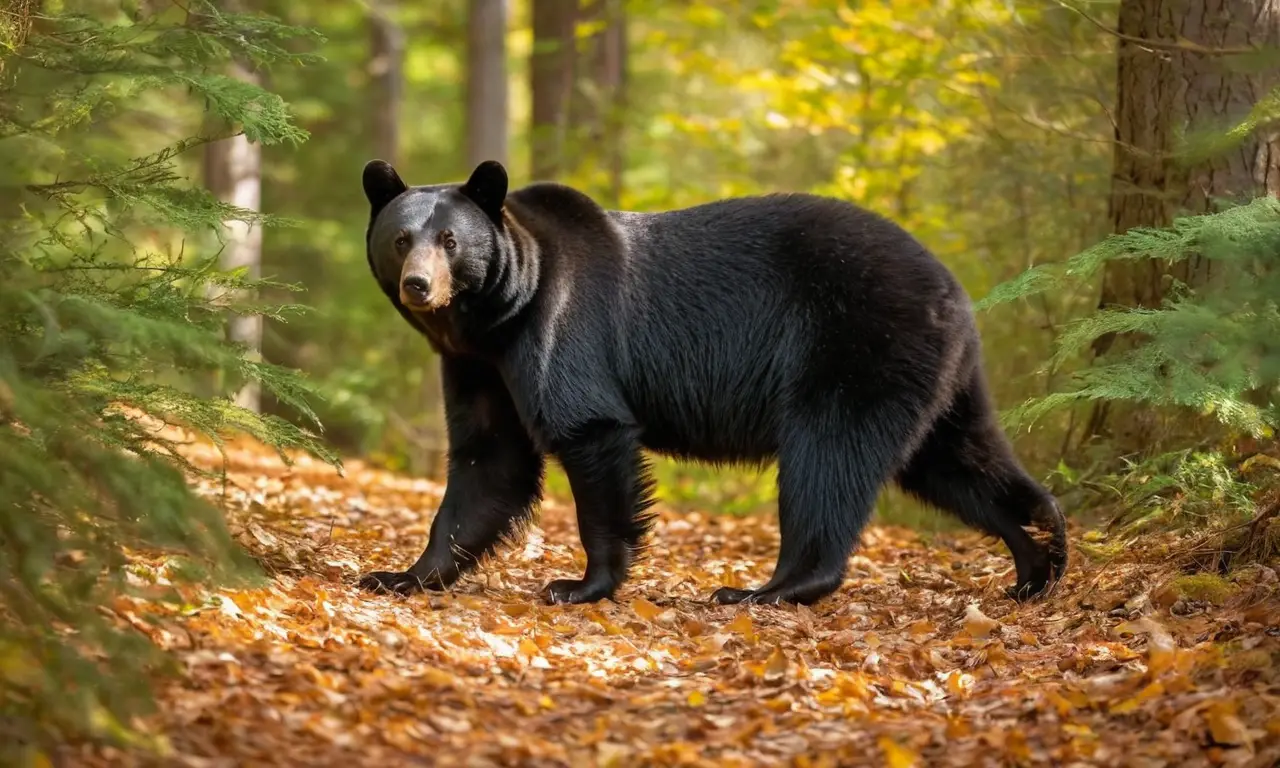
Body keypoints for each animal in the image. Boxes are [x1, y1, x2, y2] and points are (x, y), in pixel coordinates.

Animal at [355, 158, 1068, 606]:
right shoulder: (480, 367)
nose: (420, 286)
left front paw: (580, 584)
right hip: (936, 375)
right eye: (401, 238)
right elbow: (489, 459)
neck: (499, 314)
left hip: (854, 346)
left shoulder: (561, 325)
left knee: (827, 460)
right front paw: (399, 574)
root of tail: (954, 291)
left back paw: (768, 587)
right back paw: (1041, 556)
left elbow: (588, 428)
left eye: (450, 240)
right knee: (957, 459)